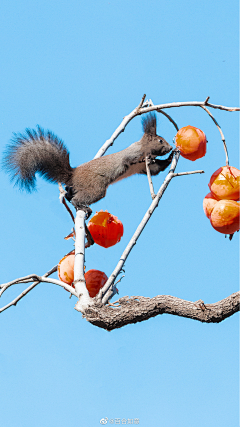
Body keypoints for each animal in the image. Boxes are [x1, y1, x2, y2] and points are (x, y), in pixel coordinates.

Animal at [2, 113, 174, 211]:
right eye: (160, 140)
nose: (170, 147)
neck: (143, 148)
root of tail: (72, 175)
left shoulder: (143, 168)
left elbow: (155, 169)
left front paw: (171, 157)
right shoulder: (133, 154)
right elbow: (131, 160)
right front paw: (153, 157)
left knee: (70, 194)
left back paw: (70, 197)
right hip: (95, 187)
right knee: (83, 197)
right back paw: (79, 205)